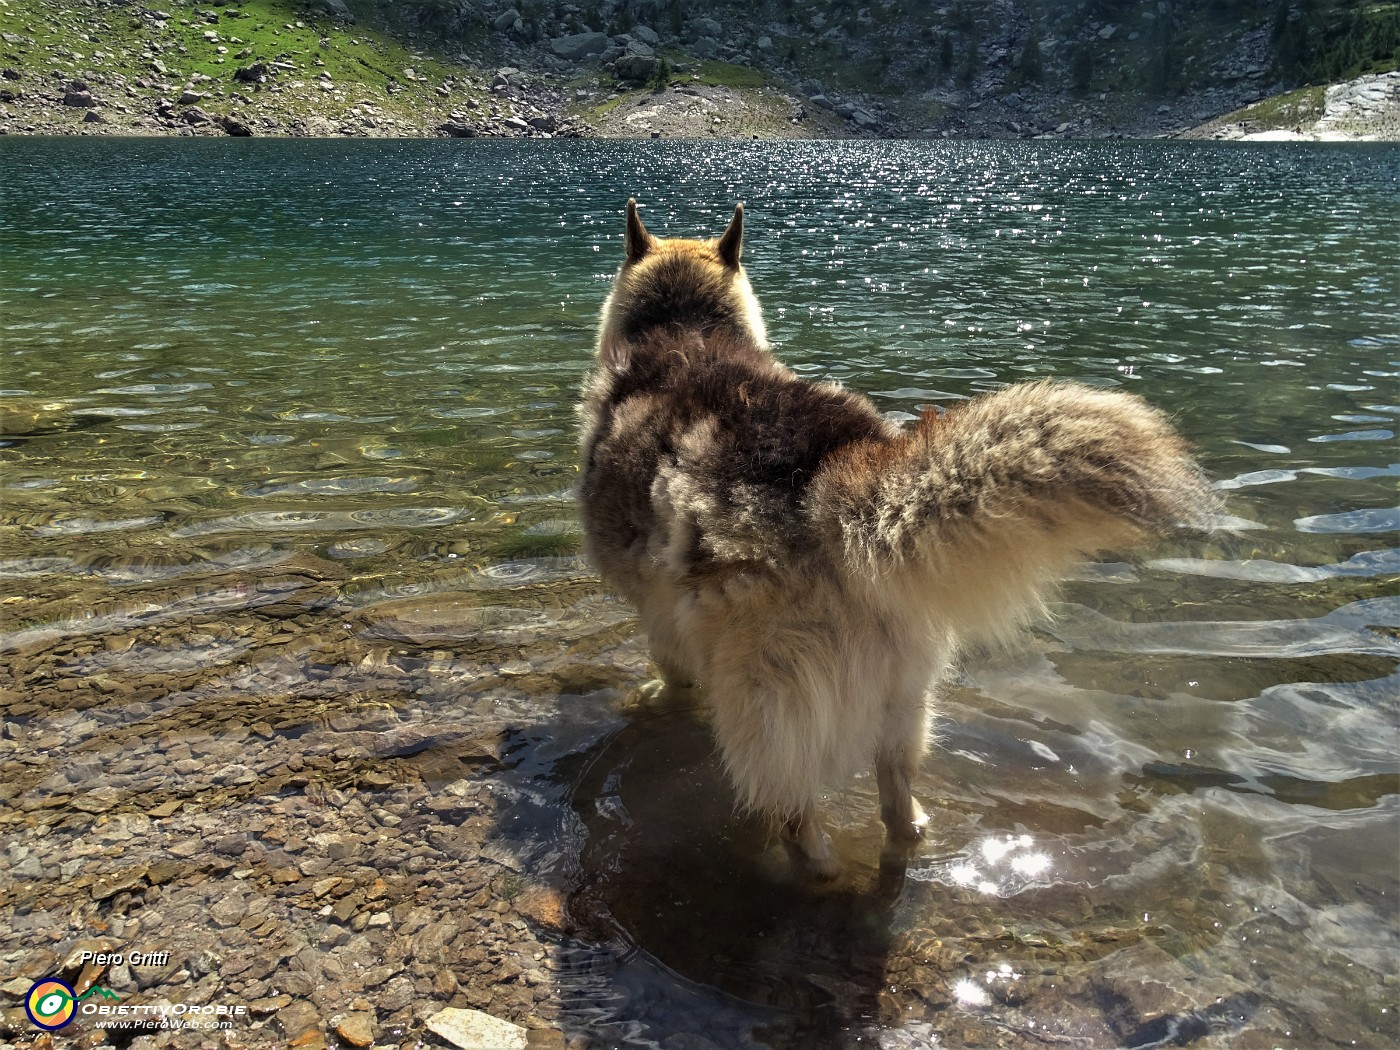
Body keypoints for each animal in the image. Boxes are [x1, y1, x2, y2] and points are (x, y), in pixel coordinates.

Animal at [579, 198, 1215, 879]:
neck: (685, 329)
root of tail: (841, 483)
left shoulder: (658, 608)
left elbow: (671, 665)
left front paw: (659, 693)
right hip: (907, 683)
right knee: (895, 786)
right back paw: (905, 832)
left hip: (765, 694)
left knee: (791, 803)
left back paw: (806, 864)